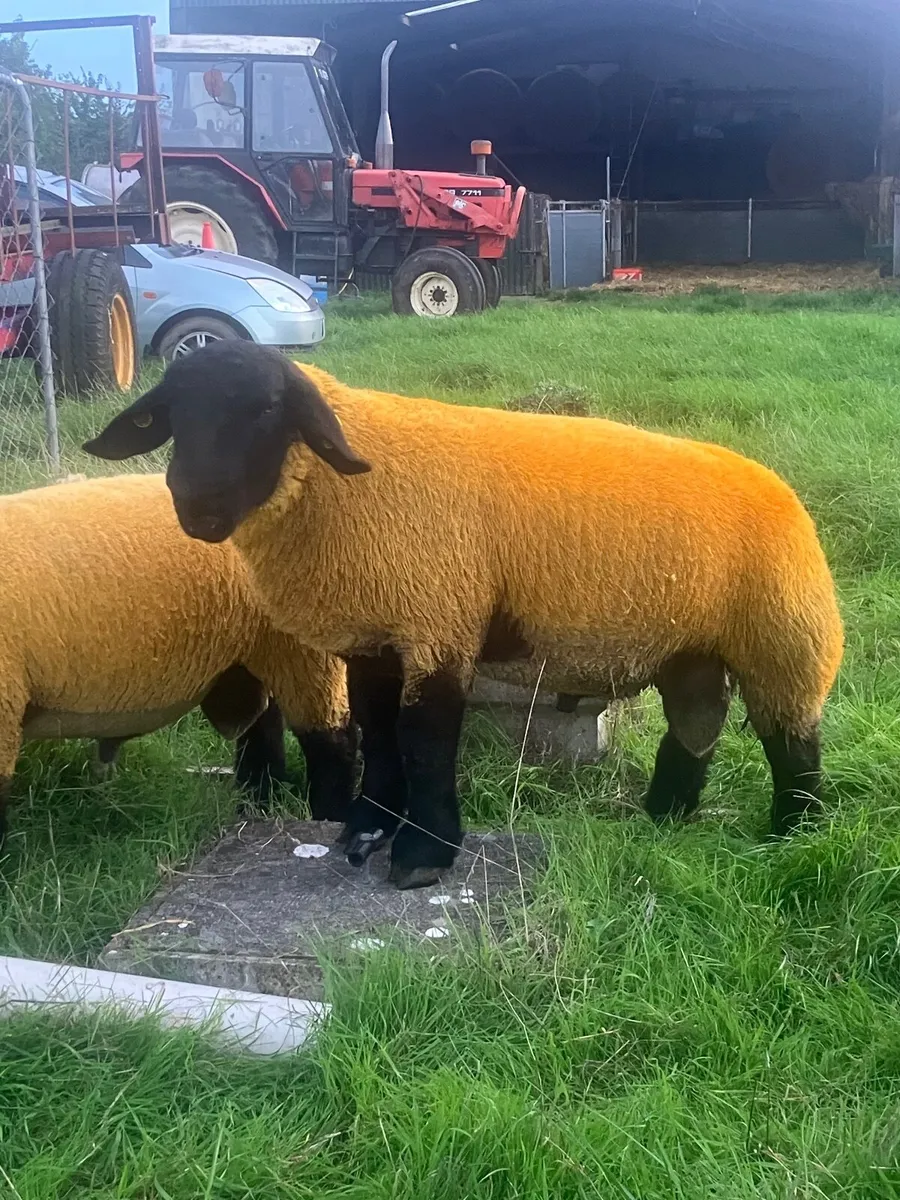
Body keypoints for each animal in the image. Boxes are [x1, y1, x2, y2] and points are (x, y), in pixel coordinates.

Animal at [0, 470, 356, 838]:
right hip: (256, 651)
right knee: (263, 727)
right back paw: (255, 802)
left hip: (306, 648)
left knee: (330, 741)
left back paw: (330, 815)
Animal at [85, 343, 844, 890]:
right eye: (171, 414)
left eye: (270, 411)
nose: (197, 504)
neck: (342, 489)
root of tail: (778, 488)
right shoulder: (376, 634)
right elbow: (379, 731)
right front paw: (367, 830)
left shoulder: (437, 617)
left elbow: (424, 737)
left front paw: (423, 854)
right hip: (693, 651)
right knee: (696, 728)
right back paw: (664, 821)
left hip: (785, 635)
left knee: (792, 742)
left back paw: (794, 837)